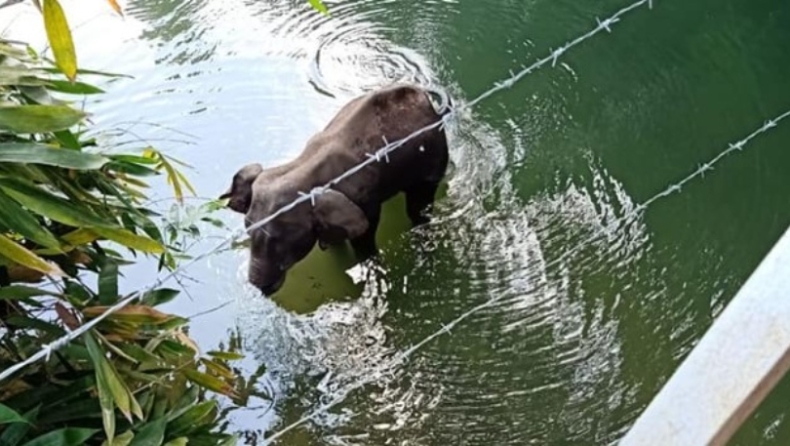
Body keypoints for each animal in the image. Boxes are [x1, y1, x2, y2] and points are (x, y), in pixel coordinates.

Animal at [221, 84, 452, 296]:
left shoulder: (364, 200)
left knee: (418, 207)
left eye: (279, 240)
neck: (302, 166)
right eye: (248, 229)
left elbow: (365, 237)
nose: (261, 289)